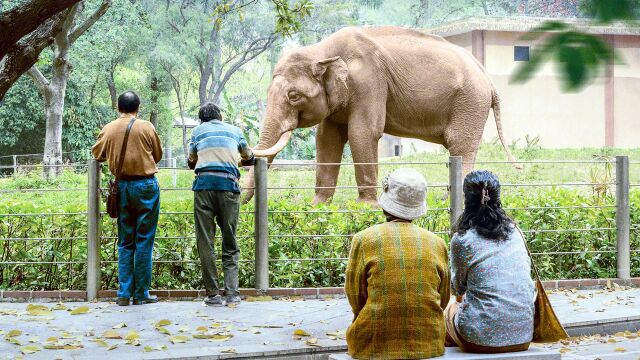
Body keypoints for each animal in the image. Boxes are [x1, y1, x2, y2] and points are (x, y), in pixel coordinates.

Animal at [245, 25, 520, 205]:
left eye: (293, 96)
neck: (323, 50)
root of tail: (487, 78)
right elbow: (327, 139)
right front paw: (318, 206)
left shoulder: (369, 82)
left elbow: (362, 133)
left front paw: (365, 207)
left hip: (470, 102)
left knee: (460, 145)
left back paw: (449, 200)